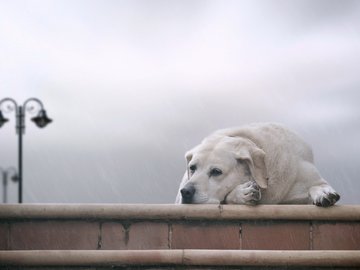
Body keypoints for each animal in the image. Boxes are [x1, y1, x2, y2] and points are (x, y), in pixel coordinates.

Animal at [176, 123, 340, 207]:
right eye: (192, 168)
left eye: (216, 171)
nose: (186, 192)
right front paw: (243, 193)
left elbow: (316, 185)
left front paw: (323, 192)